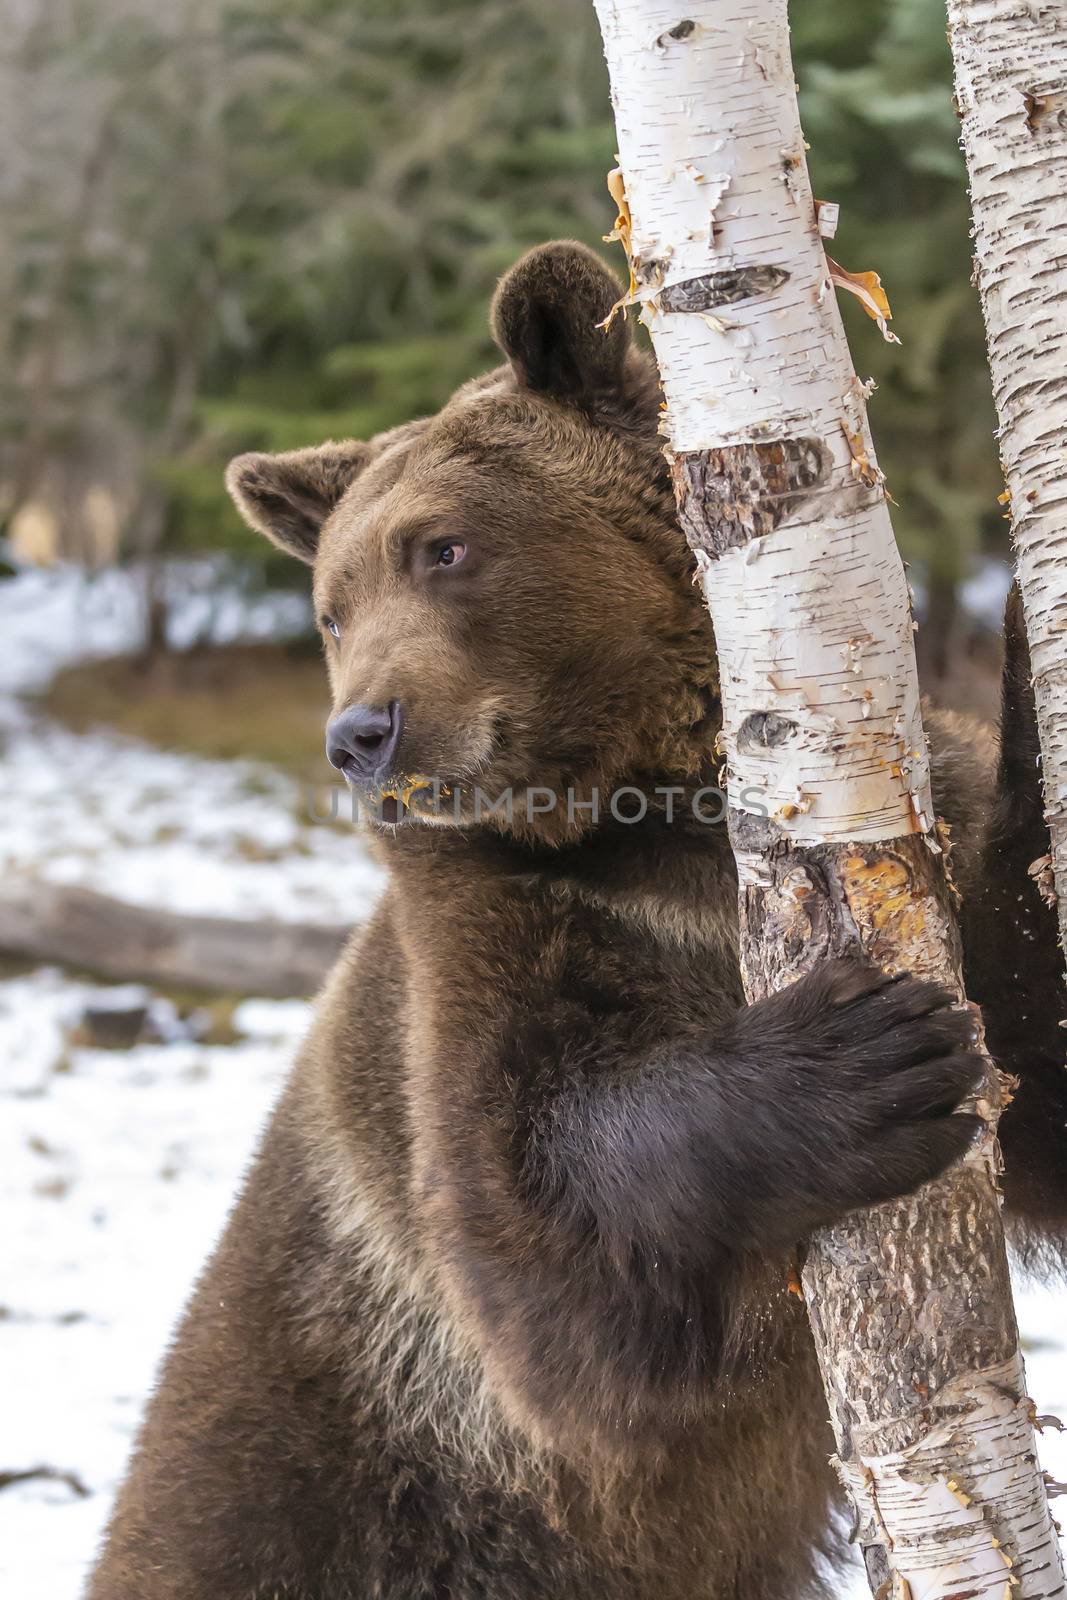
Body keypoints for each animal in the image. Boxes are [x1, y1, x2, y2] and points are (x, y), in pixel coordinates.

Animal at [89, 240, 1067, 1600]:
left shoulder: (923, 858)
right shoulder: (489, 943)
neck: (660, 823)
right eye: (331, 605)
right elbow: (535, 1221)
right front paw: (871, 1053)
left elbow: (1035, 1022)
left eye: (441, 549)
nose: (362, 732)